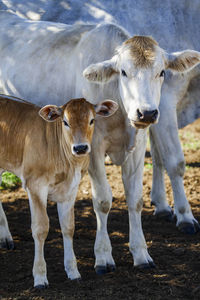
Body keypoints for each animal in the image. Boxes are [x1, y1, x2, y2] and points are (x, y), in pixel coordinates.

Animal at [0, 12, 199, 274]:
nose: (146, 113)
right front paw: (103, 257)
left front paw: (141, 253)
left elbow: (135, 200)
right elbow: (103, 201)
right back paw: (5, 236)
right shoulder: (91, 151)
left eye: (162, 72)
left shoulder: (137, 148)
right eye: (123, 72)